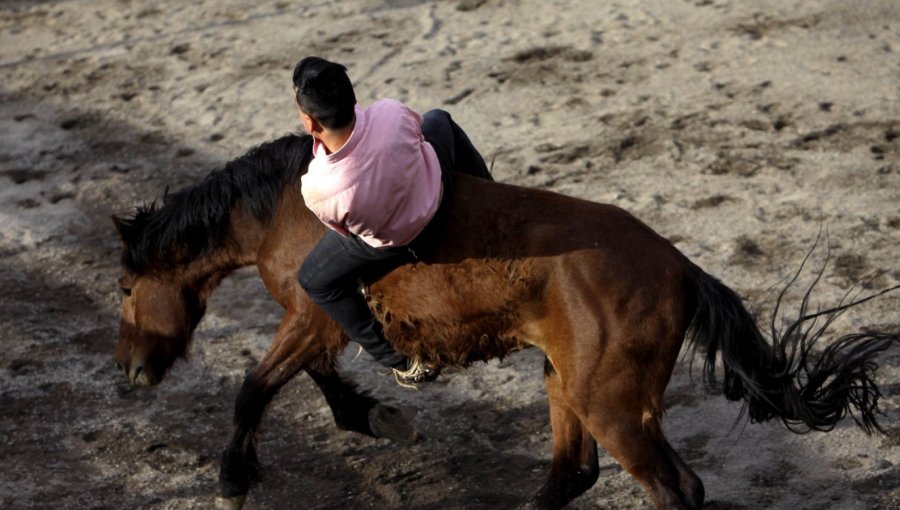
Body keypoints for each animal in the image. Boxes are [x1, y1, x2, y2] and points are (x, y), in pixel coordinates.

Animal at [110, 133, 892, 508]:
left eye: (123, 286)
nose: (130, 370)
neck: (284, 205)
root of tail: (677, 265)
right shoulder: (319, 322)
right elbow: (319, 383)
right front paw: (377, 417)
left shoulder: (311, 312)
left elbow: (255, 388)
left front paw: (232, 483)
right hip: (565, 382)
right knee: (574, 473)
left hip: (609, 403)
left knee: (673, 490)